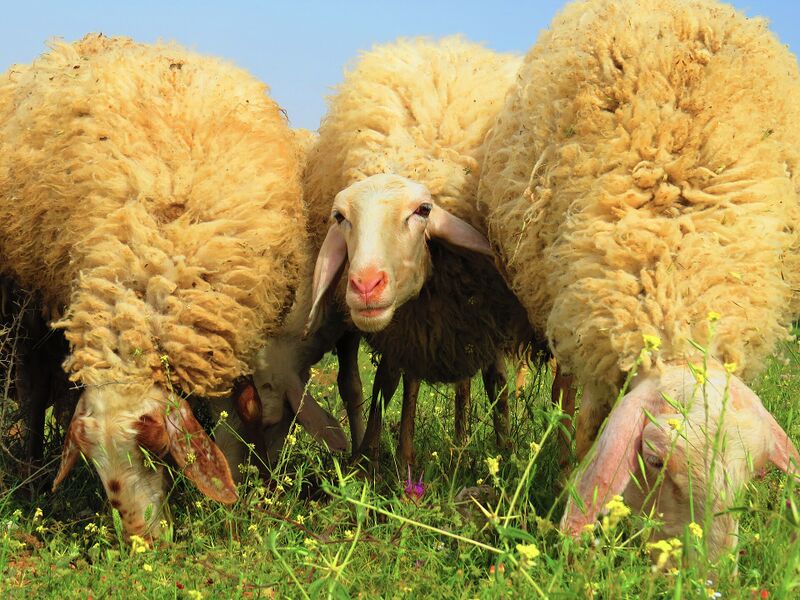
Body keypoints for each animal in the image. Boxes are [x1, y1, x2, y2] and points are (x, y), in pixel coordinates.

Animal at [0, 34, 318, 539]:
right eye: (91, 462)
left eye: (155, 451)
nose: (142, 541)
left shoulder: (225, 330)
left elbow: (237, 412)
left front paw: (236, 499)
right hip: (24, 302)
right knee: (31, 395)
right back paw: (30, 477)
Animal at [303, 36, 547, 468]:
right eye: (340, 217)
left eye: (423, 210)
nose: (365, 286)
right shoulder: (407, 326)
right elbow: (389, 382)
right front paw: (377, 460)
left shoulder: (477, 313)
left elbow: (496, 383)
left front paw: (504, 454)